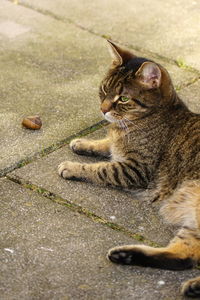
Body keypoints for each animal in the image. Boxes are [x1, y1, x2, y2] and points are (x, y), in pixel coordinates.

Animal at [58, 39, 200, 298]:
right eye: (104, 89)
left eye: (123, 99)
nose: (103, 109)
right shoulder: (118, 147)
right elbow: (107, 145)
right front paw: (84, 143)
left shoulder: (135, 169)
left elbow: (102, 169)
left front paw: (73, 167)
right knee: (184, 257)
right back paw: (125, 255)